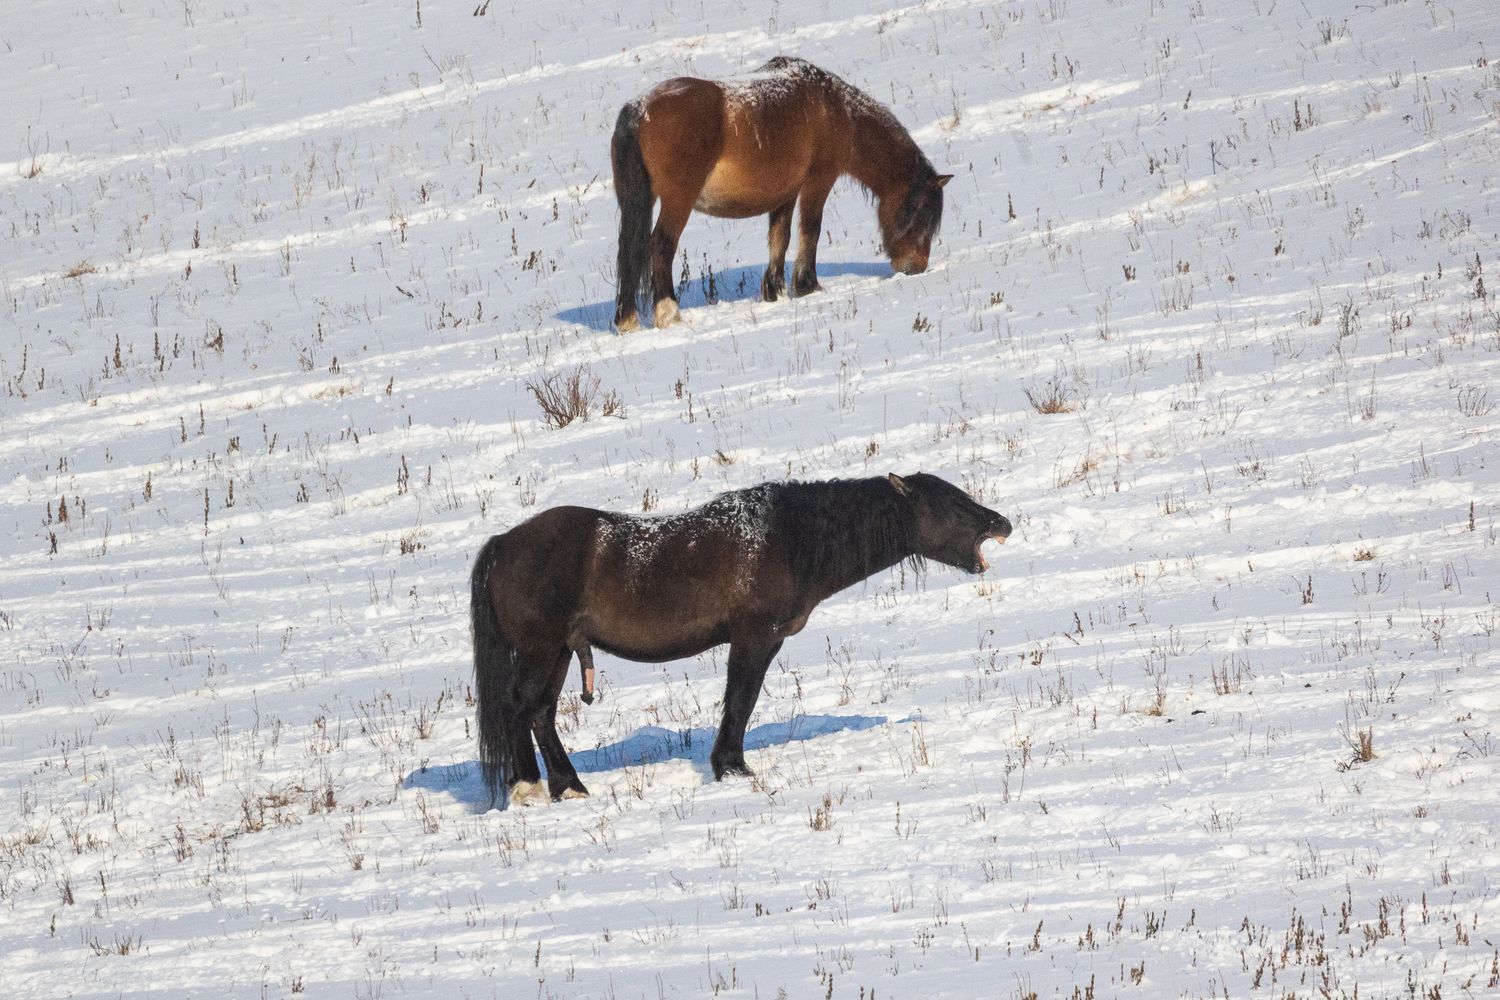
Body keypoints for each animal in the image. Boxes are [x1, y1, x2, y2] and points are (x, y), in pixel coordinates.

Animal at [470, 473, 1011, 807]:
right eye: (949, 503)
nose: (1001, 522)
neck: (788, 540)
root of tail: (502, 545)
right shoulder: (755, 638)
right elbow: (740, 700)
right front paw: (731, 767)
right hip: (541, 649)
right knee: (520, 707)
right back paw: (529, 786)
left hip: (560, 651)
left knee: (539, 712)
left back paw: (567, 785)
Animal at [611, 56, 952, 331]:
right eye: (922, 213)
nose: (916, 266)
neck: (834, 110)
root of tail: (639, 111)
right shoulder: (819, 180)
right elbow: (810, 230)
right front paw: (808, 285)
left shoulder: (785, 193)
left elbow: (780, 238)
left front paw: (774, 291)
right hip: (677, 201)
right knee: (661, 246)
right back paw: (669, 313)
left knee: (630, 249)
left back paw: (627, 321)